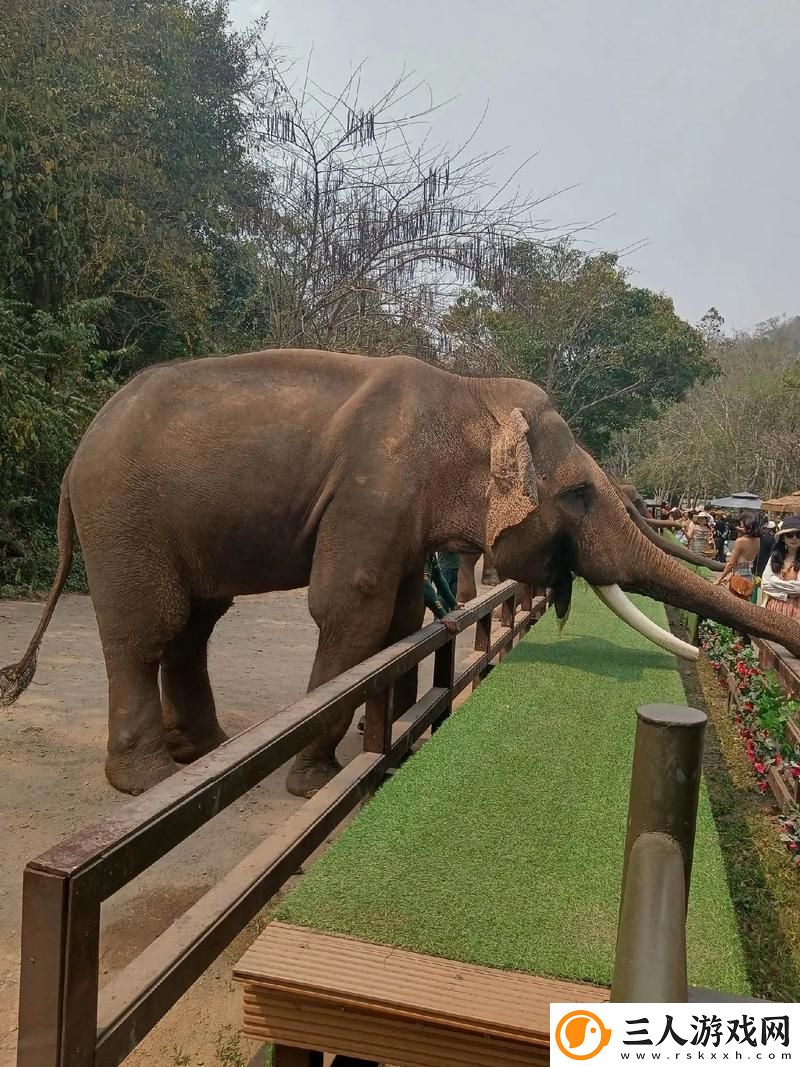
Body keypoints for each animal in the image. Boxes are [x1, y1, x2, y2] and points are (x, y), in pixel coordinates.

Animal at [2, 348, 799, 799]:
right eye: (578, 494)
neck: (468, 393)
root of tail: (73, 461)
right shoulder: (373, 488)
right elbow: (350, 607)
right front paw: (314, 780)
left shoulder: (402, 510)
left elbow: (401, 615)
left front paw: (395, 733)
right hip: (125, 516)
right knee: (151, 627)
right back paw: (153, 781)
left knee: (196, 623)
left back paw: (208, 749)